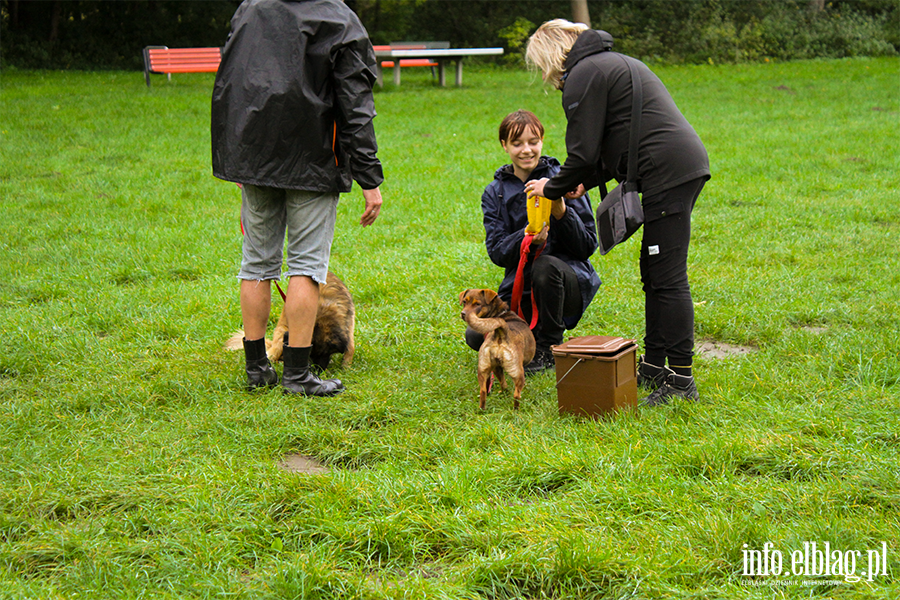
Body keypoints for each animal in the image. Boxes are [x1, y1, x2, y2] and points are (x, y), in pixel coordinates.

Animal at [225, 270, 356, 370]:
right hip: (281, 334)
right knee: (273, 355)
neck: (324, 310)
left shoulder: (349, 324)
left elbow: (350, 346)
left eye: (325, 353)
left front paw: (346, 367)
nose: (317, 370)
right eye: (311, 354)